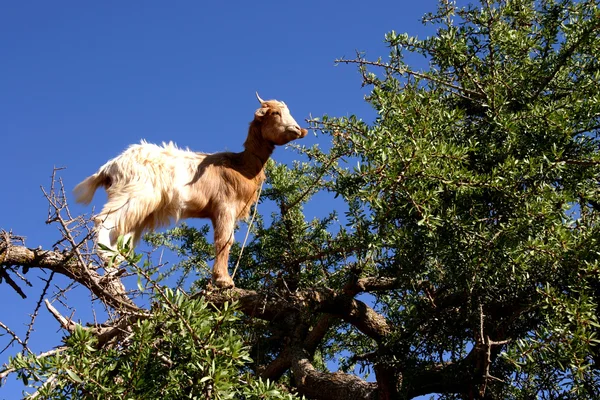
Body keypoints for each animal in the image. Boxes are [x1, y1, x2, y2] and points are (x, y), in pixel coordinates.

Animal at [74, 93, 308, 288]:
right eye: (275, 113)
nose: (298, 130)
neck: (241, 165)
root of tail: (110, 166)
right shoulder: (224, 206)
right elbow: (225, 240)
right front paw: (224, 281)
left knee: (121, 234)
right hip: (133, 194)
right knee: (104, 220)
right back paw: (106, 257)